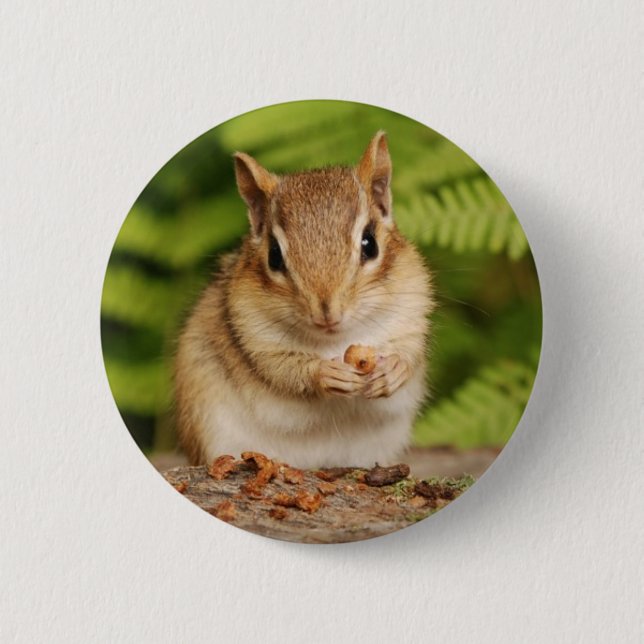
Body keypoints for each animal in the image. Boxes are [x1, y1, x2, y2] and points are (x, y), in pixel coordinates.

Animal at [174, 132, 434, 469]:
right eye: (274, 256)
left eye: (370, 244)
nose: (327, 313)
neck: (336, 341)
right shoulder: (254, 335)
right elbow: (282, 369)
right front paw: (325, 374)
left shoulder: (412, 313)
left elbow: (410, 350)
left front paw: (393, 370)